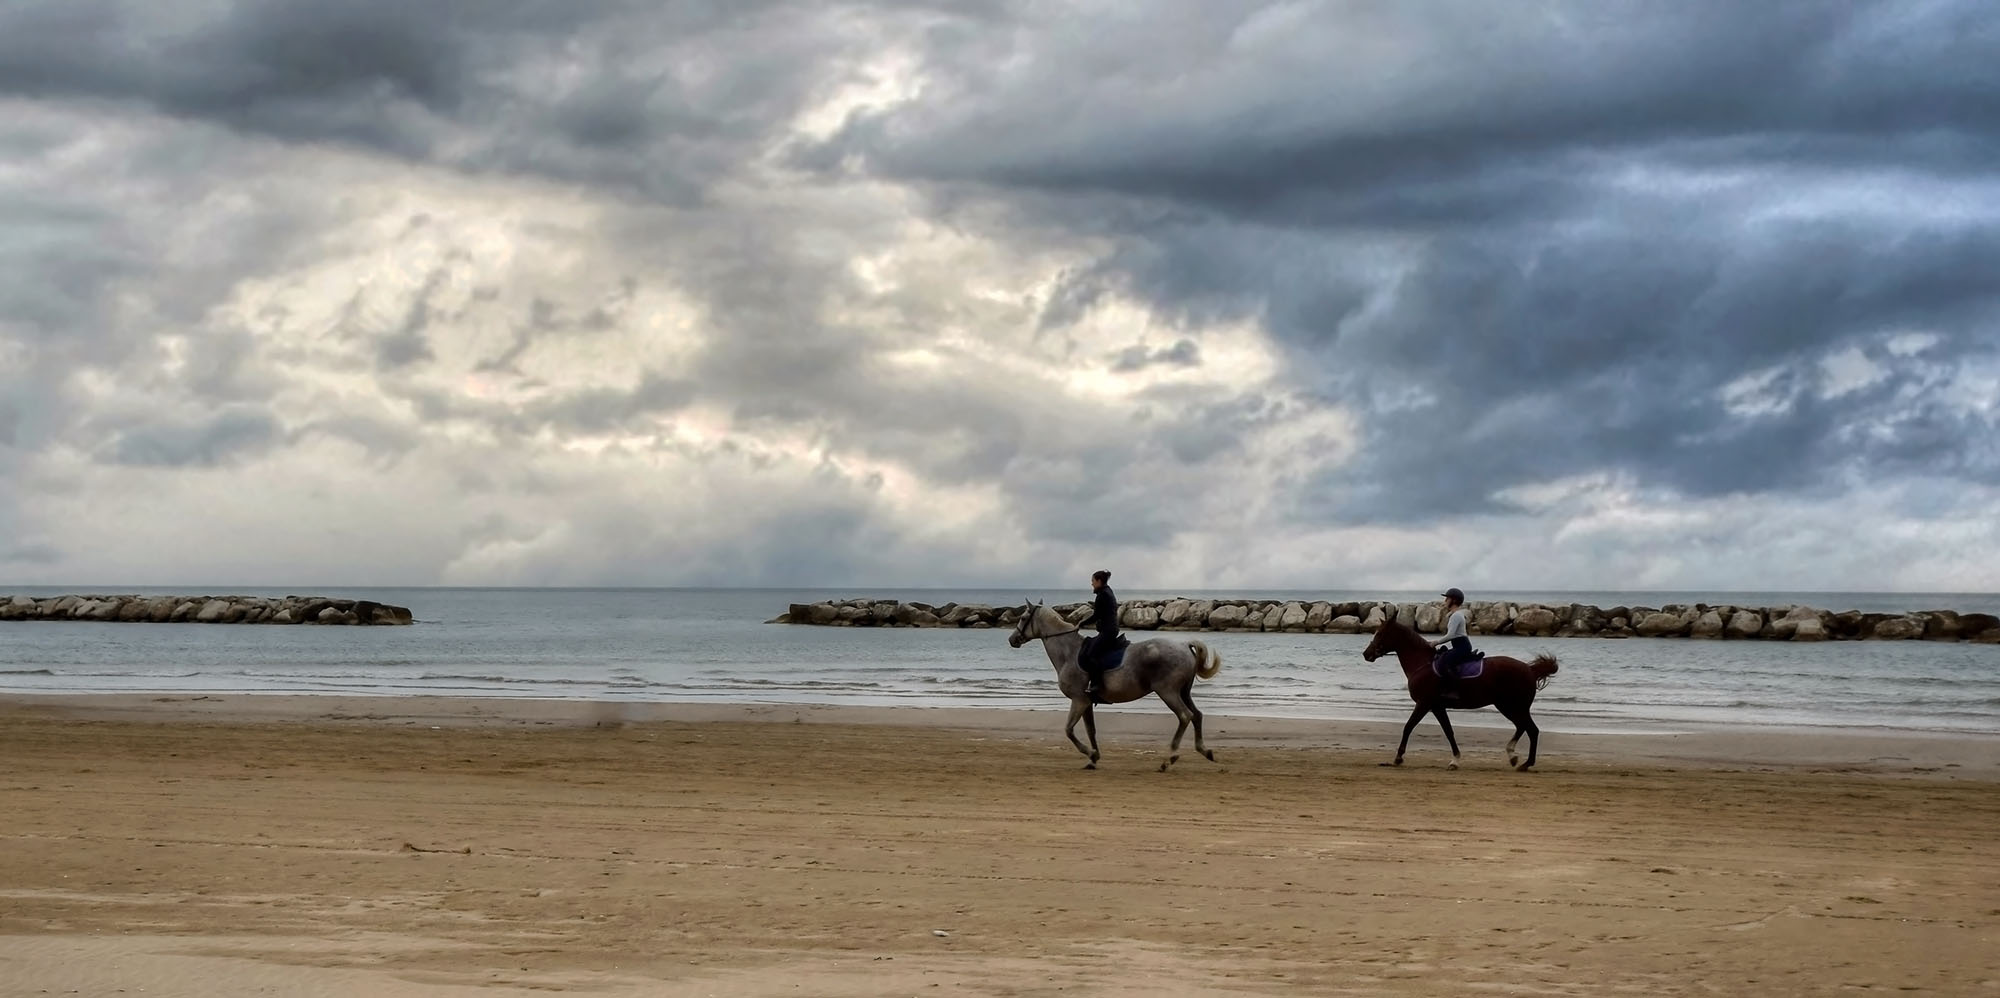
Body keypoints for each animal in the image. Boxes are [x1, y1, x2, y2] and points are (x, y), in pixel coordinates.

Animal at [1000, 600, 1216, 772]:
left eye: (1023, 617)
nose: (1012, 640)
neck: (1069, 652)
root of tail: (1184, 645)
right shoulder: (1086, 702)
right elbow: (1090, 730)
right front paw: (1093, 759)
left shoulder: (1078, 700)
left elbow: (1069, 730)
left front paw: (1090, 753)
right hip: (1183, 692)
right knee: (1197, 715)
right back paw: (1205, 751)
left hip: (1168, 692)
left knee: (1185, 716)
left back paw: (1169, 758)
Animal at [1360, 616, 1560, 772]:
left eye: (1380, 634)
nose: (1366, 654)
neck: (1422, 664)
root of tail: (1530, 669)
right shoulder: (1437, 707)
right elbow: (1449, 732)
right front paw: (1455, 760)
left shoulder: (1424, 704)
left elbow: (1408, 727)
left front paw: (1398, 758)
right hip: (1507, 706)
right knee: (1523, 727)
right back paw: (1513, 756)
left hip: (1514, 706)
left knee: (1531, 730)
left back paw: (1526, 763)